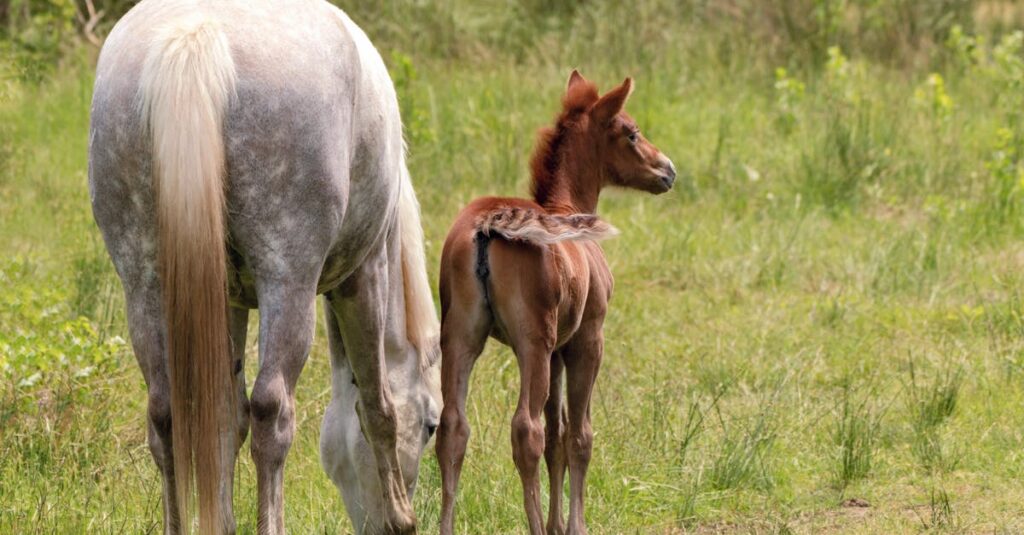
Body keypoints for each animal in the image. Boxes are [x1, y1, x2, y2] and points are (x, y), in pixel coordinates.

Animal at [88, 1, 440, 533]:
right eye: (433, 425)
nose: (377, 525)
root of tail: (199, 34)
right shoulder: (365, 274)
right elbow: (377, 406)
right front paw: (402, 516)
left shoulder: (226, 300)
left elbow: (224, 420)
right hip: (288, 284)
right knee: (272, 413)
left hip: (144, 285)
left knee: (166, 414)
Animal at [435, 71, 675, 535]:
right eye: (632, 133)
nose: (668, 170)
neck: (565, 206)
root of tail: (490, 225)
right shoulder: (586, 340)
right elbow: (579, 435)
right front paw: (573, 525)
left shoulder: (559, 352)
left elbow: (557, 435)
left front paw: (557, 523)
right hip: (534, 342)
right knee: (524, 429)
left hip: (460, 335)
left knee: (453, 427)